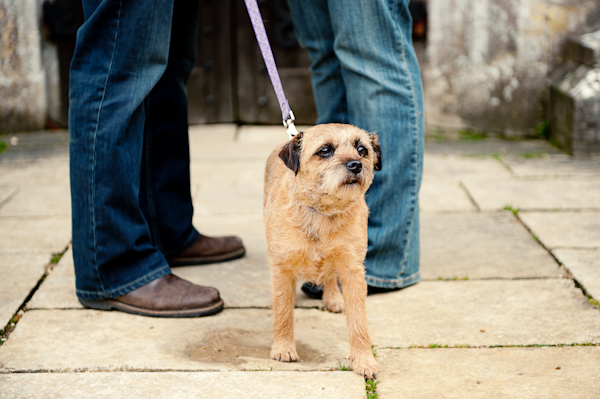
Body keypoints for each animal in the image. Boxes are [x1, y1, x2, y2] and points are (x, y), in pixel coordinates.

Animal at [262, 123, 380, 380]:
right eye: (324, 150)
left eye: (362, 150)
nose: (356, 164)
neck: (324, 213)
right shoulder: (281, 267)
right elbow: (283, 312)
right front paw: (283, 348)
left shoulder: (353, 270)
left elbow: (359, 323)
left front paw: (364, 360)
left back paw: (333, 298)